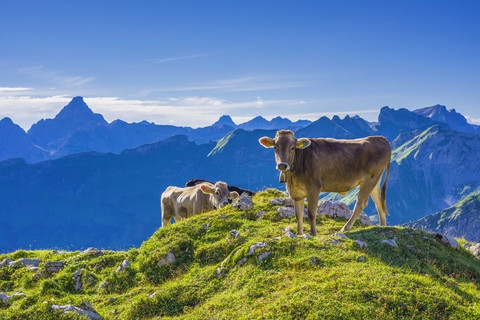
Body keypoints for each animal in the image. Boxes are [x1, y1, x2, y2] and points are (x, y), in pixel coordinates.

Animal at [258, 129, 390, 235]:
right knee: (379, 204)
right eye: (275, 147)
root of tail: (381, 139)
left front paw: (313, 233)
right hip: (375, 179)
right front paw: (299, 234)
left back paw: (345, 229)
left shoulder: (313, 188)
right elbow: (298, 214)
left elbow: (311, 213)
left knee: (361, 204)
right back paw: (382, 227)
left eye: (292, 147)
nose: (282, 165)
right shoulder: (296, 193)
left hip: (370, 178)